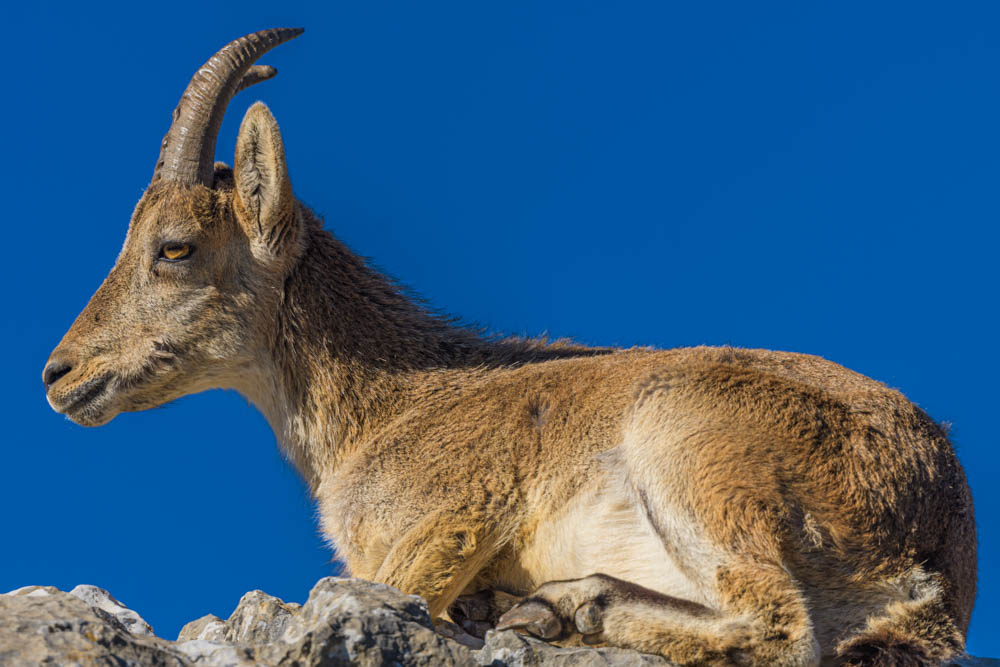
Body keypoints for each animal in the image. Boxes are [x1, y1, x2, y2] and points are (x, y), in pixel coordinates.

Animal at [43, 28, 976, 666]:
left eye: (174, 247)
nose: (61, 373)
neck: (389, 405)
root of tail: (938, 538)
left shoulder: (442, 524)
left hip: (688, 445)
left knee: (782, 625)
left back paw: (556, 610)